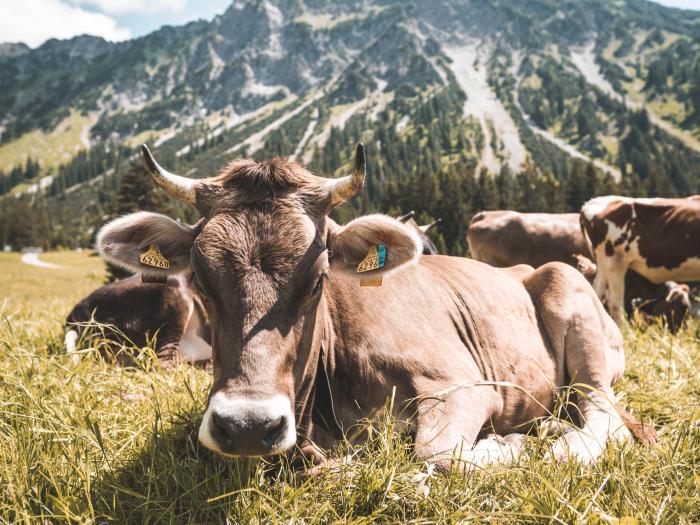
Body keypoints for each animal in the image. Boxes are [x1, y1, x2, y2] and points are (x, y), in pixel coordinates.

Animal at [95, 142, 652, 470]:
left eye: (317, 280)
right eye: (200, 280)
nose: (248, 426)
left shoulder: (462, 384)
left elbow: (437, 455)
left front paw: (506, 444)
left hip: (569, 297)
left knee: (604, 418)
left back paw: (557, 438)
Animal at [580, 194, 700, 322]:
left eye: (685, 307)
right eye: (680, 308)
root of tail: (591, 202)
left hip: (604, 264)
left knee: (597, 293)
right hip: (615, 262)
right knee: (615, 304)